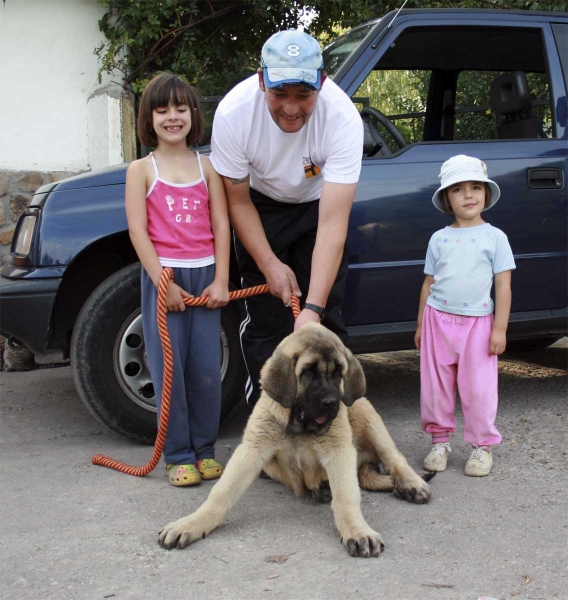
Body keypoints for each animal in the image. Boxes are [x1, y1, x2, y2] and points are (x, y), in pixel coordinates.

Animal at [160, 324, 434, 556]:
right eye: (308, 373)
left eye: (339, 373)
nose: (332, 403)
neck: (300, 424)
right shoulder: (252, 449)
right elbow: (220, 494)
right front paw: (191, 523)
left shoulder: (339, 451)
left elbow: (346, 498)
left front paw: (358, 531)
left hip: (365, 413)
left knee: (394, 458)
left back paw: (411, 484)